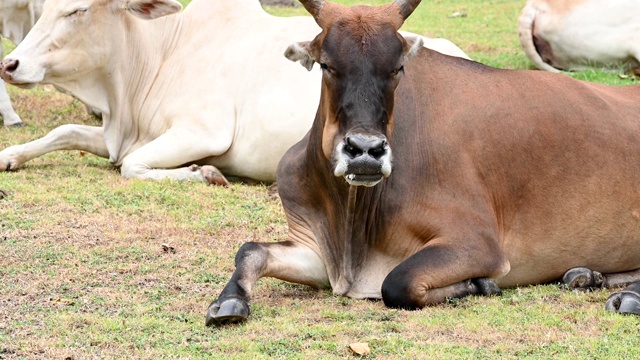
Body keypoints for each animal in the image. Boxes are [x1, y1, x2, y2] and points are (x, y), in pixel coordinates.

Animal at [0, 0, 470, 184]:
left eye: (76, 11)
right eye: (46, 8)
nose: (11, 64)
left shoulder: (202, 131)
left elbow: (131, 166)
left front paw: (203, 173)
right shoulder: (120, 133)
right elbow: (63, 132)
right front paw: (10, 155)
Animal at [205, 0, 640, 326]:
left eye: (397, 67)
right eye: (327, 64)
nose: (365, 151)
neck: (353, 217)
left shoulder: (478, 243)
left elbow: (398, 282)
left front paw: (478, 284)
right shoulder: (314, 247)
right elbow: (251, 250)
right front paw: (228, 301)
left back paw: (626, 296)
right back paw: (586, 275)